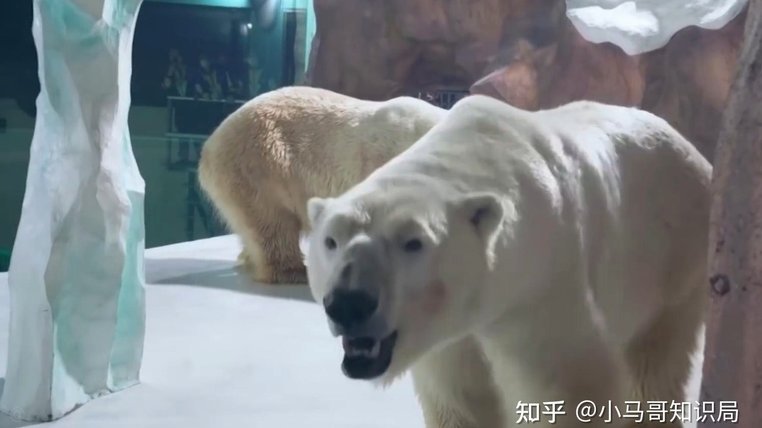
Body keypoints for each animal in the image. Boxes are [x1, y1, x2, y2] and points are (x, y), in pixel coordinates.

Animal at [303, 95, 711, 428]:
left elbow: (568, 386)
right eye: (331, 240)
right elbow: (460, 400)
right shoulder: (451, 338)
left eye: (413, 243)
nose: (349, 303)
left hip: (672, 259)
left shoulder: (541, 285)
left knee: (654, 367)